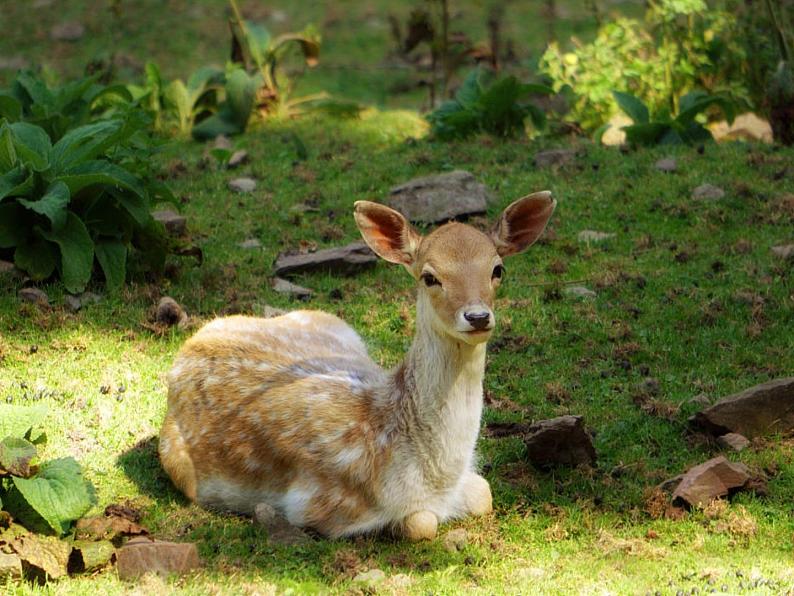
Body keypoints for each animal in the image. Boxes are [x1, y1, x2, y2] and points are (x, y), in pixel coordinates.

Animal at [158, 191, 552, 540]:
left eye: (497, 269)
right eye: (430, 276)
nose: (477, 316)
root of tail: (196, 337)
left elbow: (485, 493)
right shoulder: (316, 504)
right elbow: (420, 523)